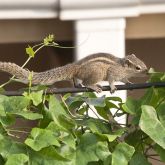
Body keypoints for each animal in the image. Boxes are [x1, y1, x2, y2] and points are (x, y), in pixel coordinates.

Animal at [0, 52, 148, 93]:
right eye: (138, 68)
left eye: (142, 62)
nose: (147, 70)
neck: (123, 68)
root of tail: (75, 67)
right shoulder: (113, 71)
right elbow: (112, 79)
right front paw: (112, 87)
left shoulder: (122, 76)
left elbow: (124, 80)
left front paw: (130, 83)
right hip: (97, 73)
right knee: (87, 82)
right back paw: (94, 86)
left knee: (76, 79)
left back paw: (78, 85)